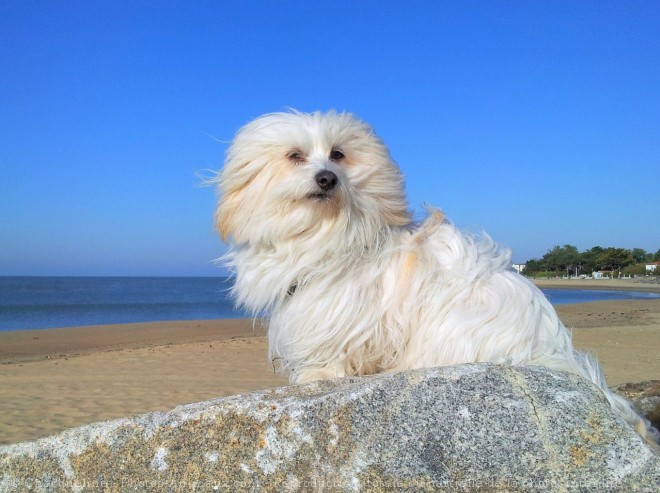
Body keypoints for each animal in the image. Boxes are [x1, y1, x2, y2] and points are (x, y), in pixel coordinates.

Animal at [215, 109, 656, 444]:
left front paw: (317, 373)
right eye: (295, 155)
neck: (325, 229)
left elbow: (337, 346)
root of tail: (559, 352)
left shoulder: (343, 309)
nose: (327, 178)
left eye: (337, 155)